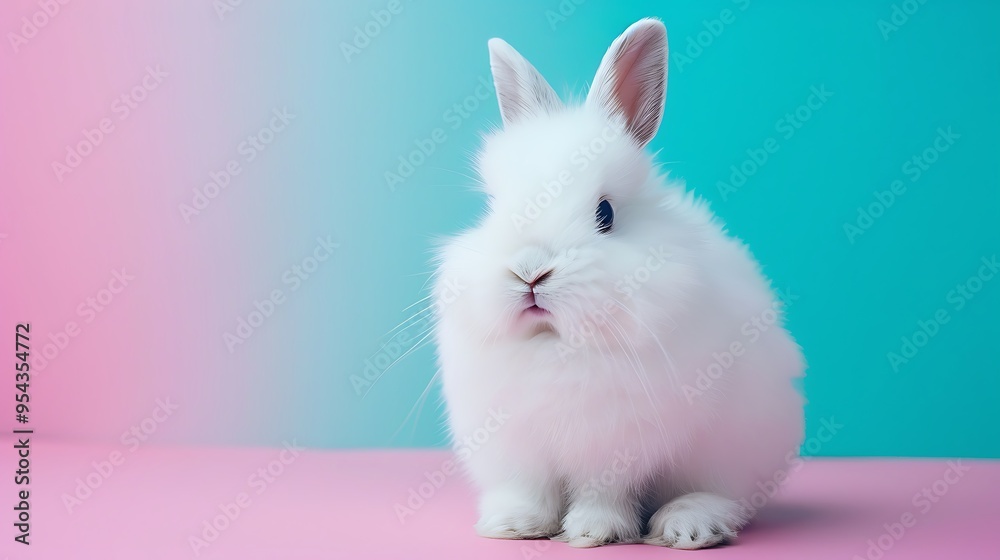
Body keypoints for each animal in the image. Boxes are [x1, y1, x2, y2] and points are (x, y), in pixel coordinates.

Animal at [431, 17, 805, 549]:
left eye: (604, 214)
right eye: (493, 209)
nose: (530, 272)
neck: (556, 344)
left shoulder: (615, 446)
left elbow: (603, 492)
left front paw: (594, 532)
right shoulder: (517, 447)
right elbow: (530, 491)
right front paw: (514, 526)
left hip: (734, 451)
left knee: (723, 494)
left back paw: (688, 527)